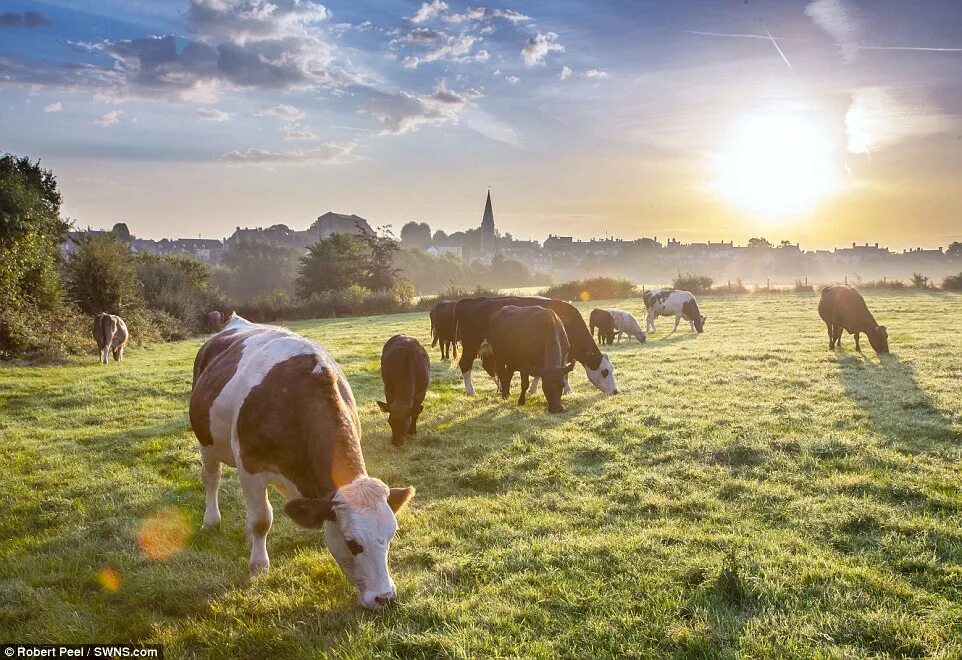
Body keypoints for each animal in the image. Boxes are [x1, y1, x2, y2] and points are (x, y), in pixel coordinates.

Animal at [188, 314, 412, 608]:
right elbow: (261, 519)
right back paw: (211, 521)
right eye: (352, 543)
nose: (385, 597)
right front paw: (258, 566)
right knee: (211, 479)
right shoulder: (250, 465)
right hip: (206, 440)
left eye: (390, 535)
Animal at [452, 300, 616, 398]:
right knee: (465, 364)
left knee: (489, 367)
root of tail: (467, 301)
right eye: (604, 372)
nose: (615, 391)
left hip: (488, 349)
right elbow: (564, 372)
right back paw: (471, 391)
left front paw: (533, 389)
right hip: (471, 344)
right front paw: (568, 390)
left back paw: (501, 387)